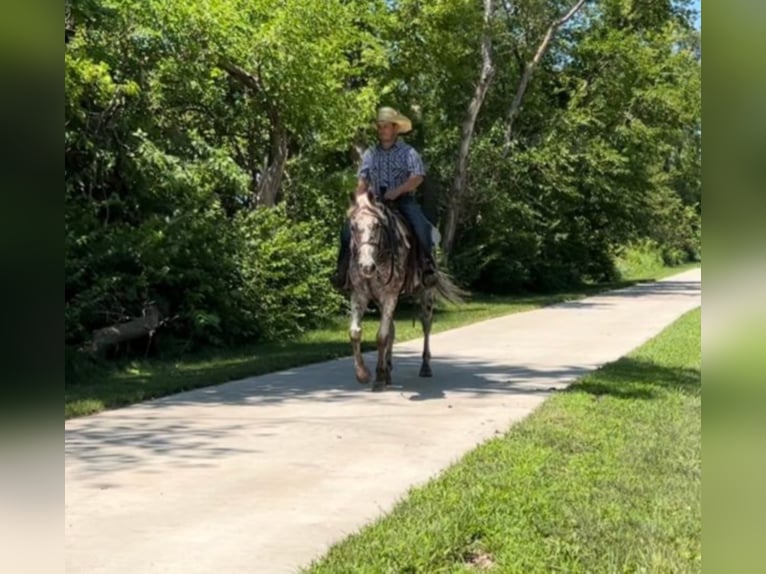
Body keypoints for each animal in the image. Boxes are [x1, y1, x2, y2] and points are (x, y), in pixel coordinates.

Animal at [344, 191, 464, 394]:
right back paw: (389, 369)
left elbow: (381, 337)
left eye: (377, 226)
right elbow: (356, 332)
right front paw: (363, 374)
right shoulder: (360, 295)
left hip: (425, 296)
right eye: (353, 227)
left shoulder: (389, 295)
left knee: (426, 325)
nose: (366, 266)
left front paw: (379, 377)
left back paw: (425, 367)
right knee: (392, 330)